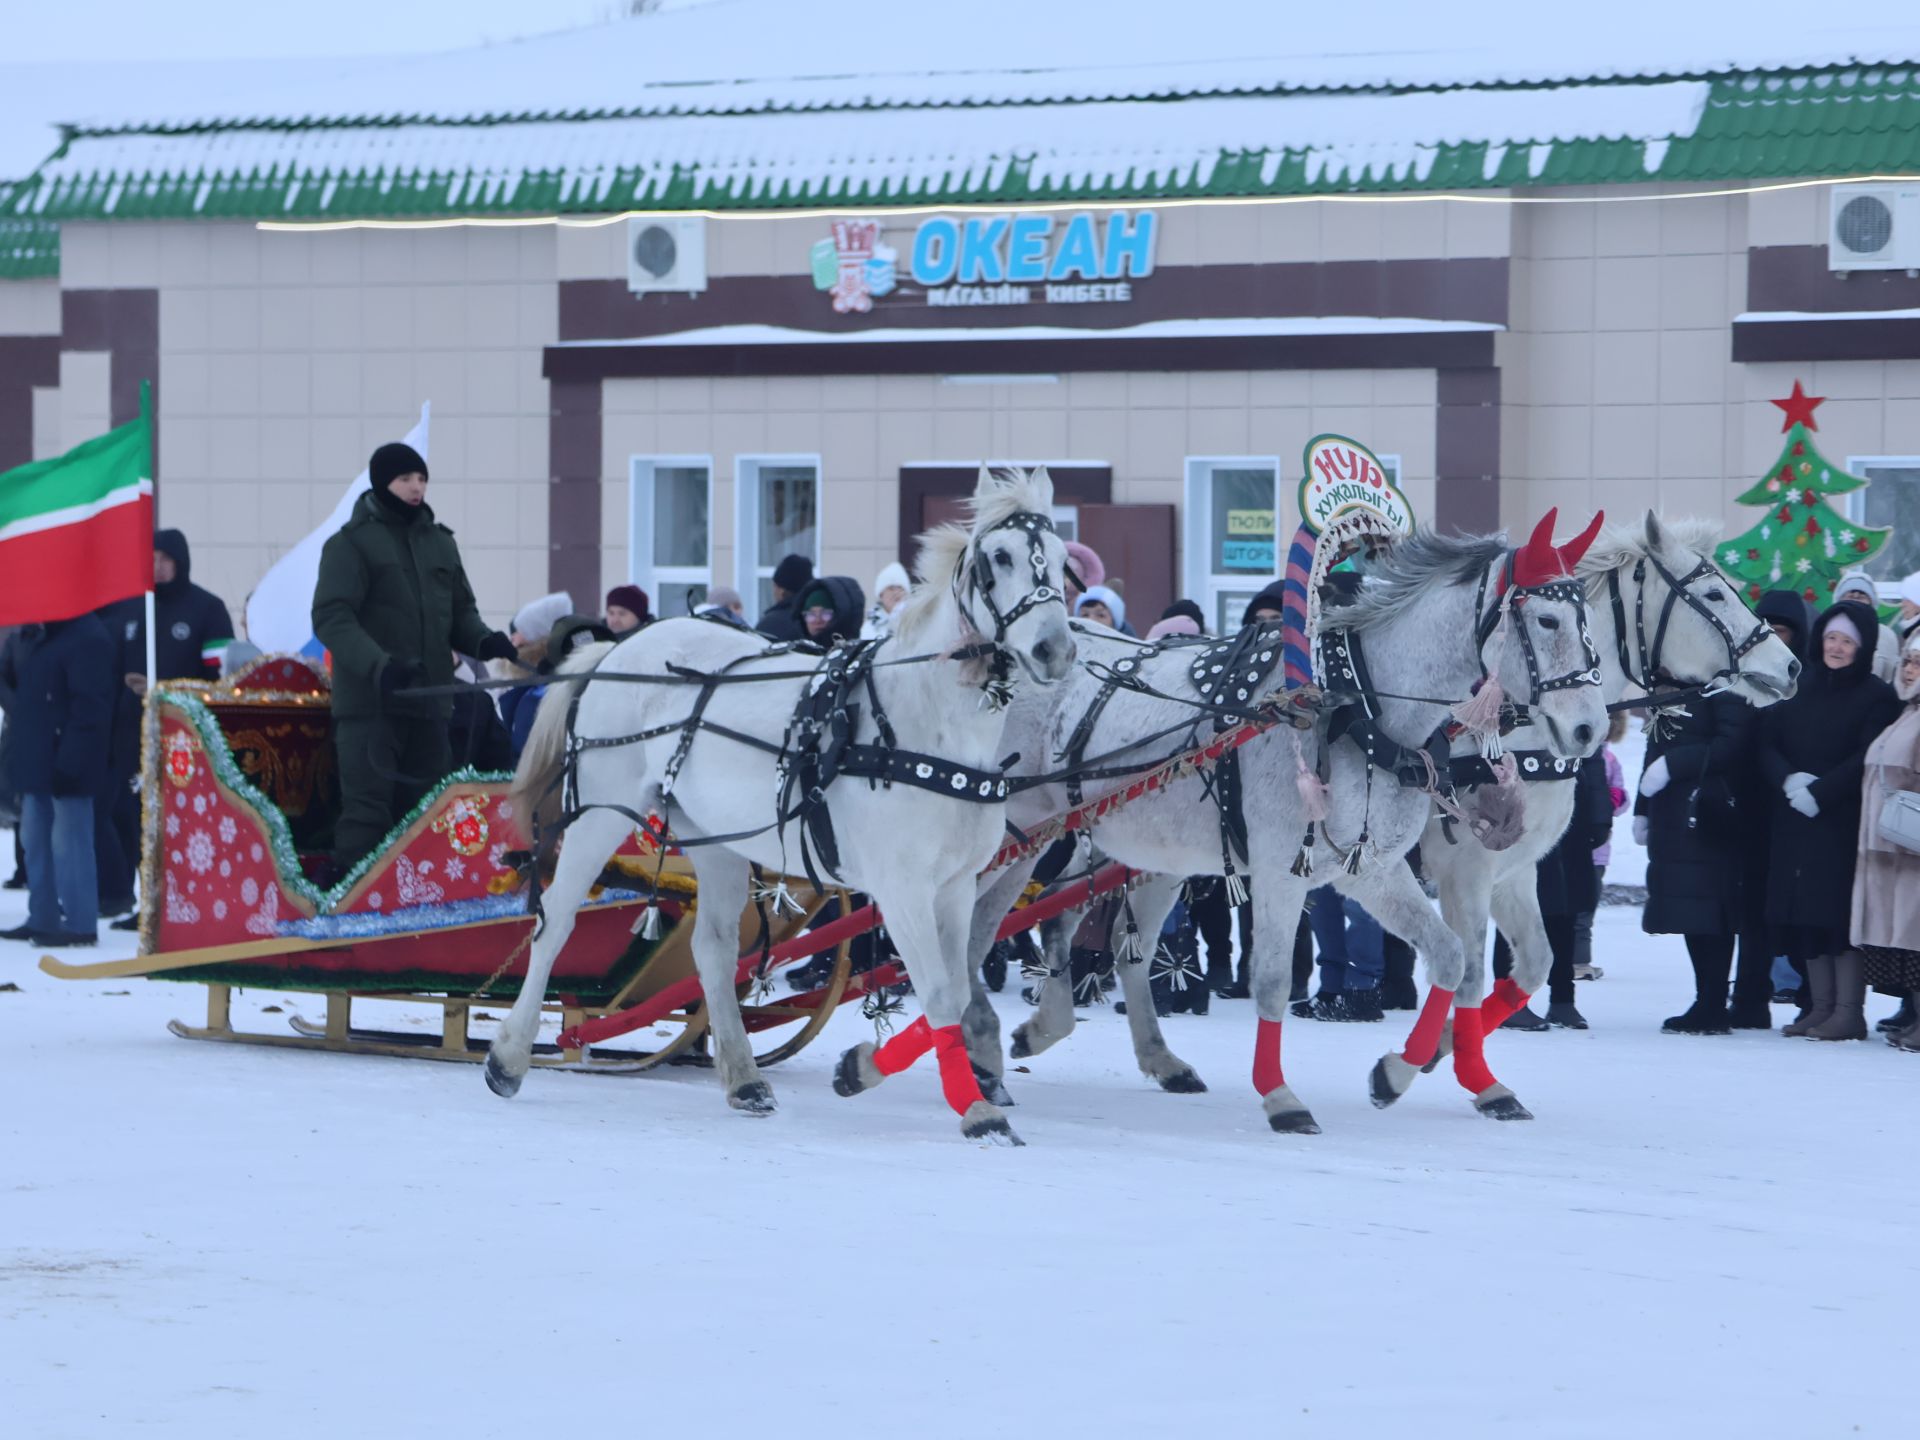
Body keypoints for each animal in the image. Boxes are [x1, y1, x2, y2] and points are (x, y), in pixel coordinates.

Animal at [491, 468, 1082, 1144]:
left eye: (1061, 558)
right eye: (1000, 557)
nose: (1056, 651)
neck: (926, 726)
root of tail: (616, 650)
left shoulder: (955, 886)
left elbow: (954, 994)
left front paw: (861, 1070)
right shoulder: (903, 887)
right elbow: (935, 991)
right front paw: (975, 1108)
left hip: (715, 839)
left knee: (713, 949)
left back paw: (744, 1078)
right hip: (599, 813)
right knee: (555, 923)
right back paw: (508, 1056)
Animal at [936, 518, 1612, 1136]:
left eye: (1588, 618)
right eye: (1547, 621)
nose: (1590, 730)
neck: (1355, 708)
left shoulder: (1372, 868)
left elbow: (1454, 960)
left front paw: (1397, 1072)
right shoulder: (1294, 871)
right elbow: (1271, 979)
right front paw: (1282, 1097)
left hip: (1151, 850)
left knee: (1101, 937)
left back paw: (1112, 1049)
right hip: (1012, 837)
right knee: (976, 931)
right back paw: (982, 1050)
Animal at [1382, 514, 1797, 1121]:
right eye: (1716, 593)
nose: (1791, 665)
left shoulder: (1514, 872)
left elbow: (1532, 964)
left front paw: (1442, 1050)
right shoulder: (1465, 871)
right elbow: (1470, 972)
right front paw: (1432, 1070)